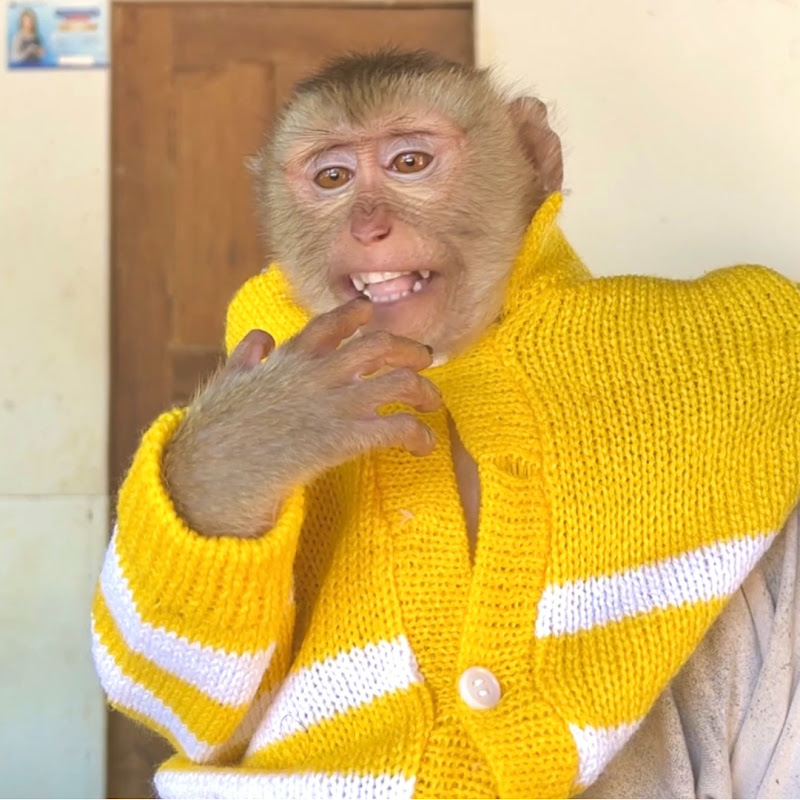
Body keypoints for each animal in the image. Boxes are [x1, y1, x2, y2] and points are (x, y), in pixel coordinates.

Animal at [93, 49, 800, 800]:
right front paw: (261, 435)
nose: (367, 227)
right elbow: (204, 708)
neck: (447, 360)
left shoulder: (740, 316)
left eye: (410, 163)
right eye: (333, 177)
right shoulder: (261, 327)